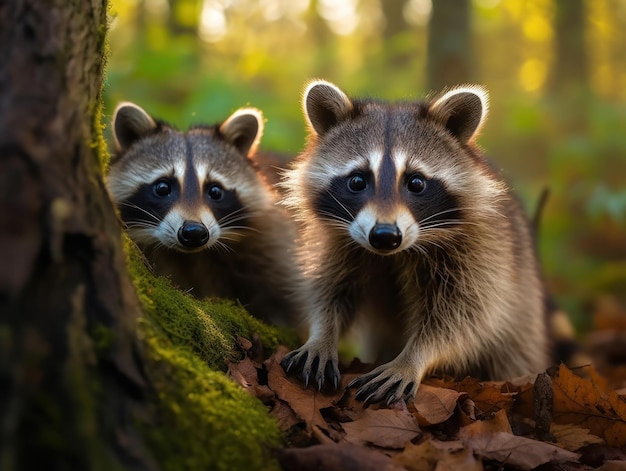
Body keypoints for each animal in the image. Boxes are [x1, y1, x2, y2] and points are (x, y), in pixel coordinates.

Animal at [280, 81, 548, 406]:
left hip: (524, 315)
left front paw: (412, 359)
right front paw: (321, 334)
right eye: (357, 181)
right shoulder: (338, 240)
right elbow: (329, 288)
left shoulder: (481, 250)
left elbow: (466, 316)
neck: (393, 253)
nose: (384, 235)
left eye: (416, 182)